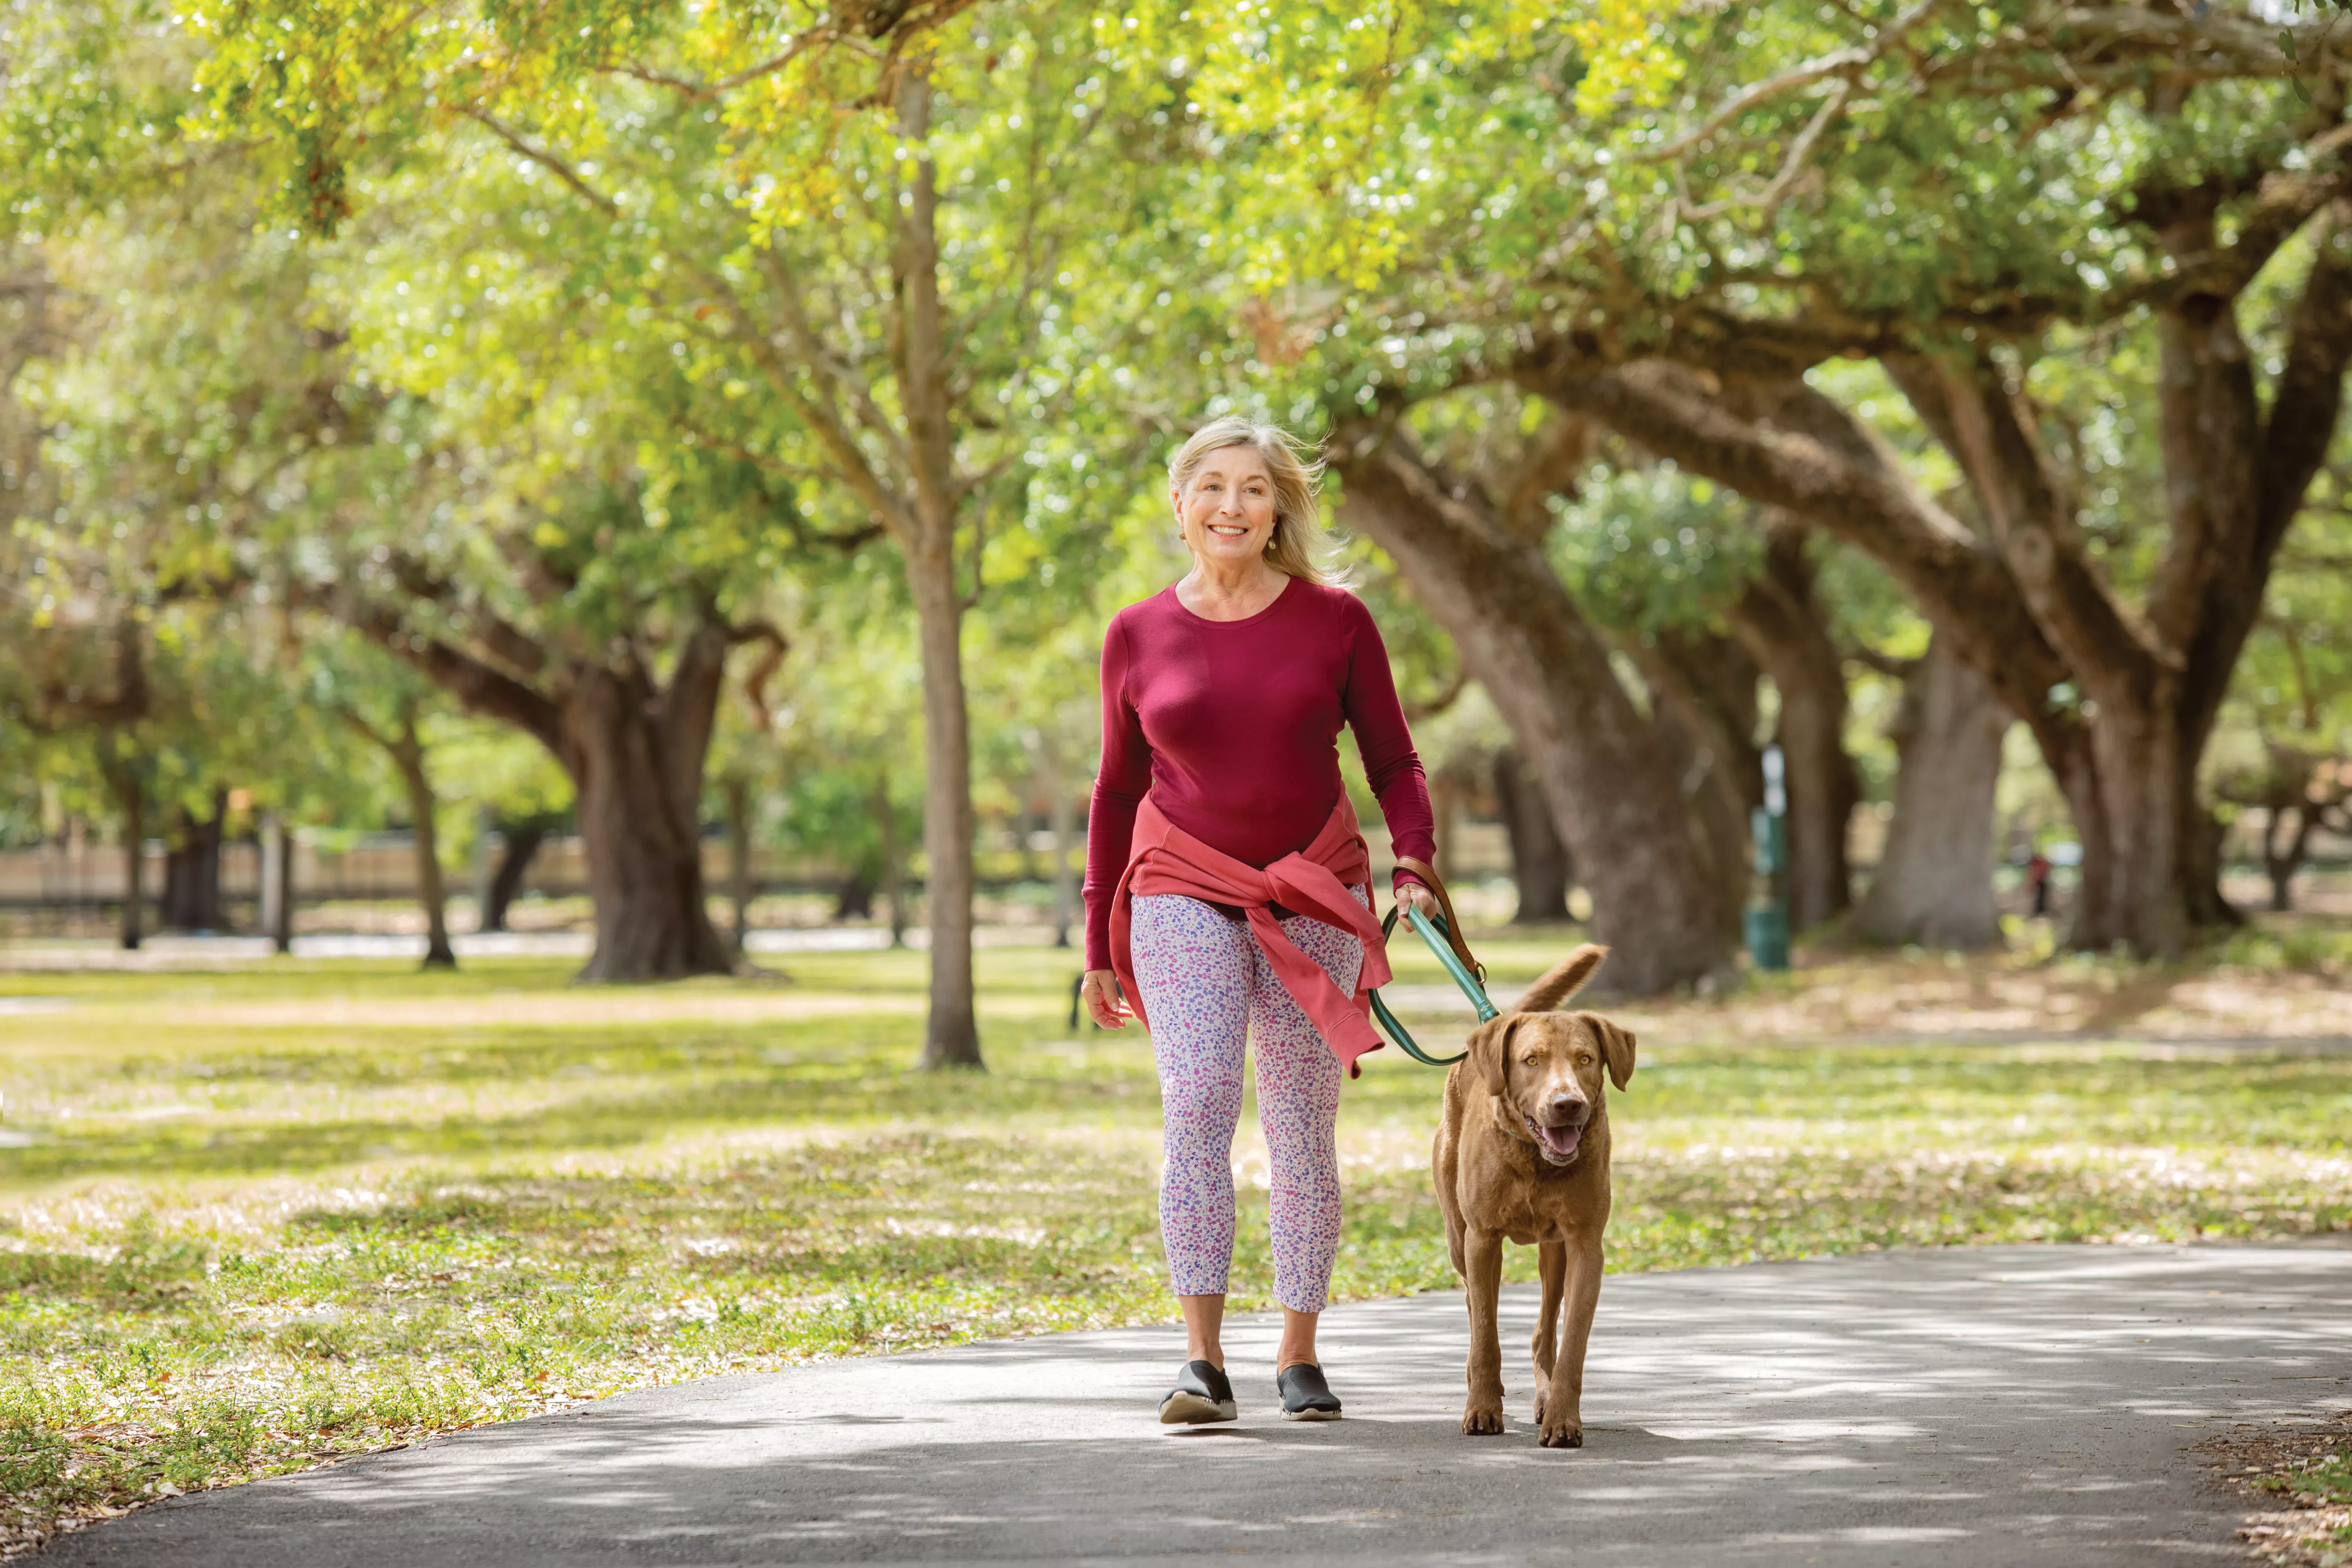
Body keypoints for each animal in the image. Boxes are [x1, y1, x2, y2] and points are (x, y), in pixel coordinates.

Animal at [1430, 945, 1637, 1448]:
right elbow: (1486, 1333)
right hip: (1458, 1237)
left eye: (1586, 1059)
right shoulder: (1482, 1238)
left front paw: (1563, 1419)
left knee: (1544, 1331)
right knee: (1474, 1308)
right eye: (1531, 1061)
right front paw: (1483, 1408)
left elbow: (1574, 1341)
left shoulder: (1585, 1245)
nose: (1568, 1104)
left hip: (1553, 1250)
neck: (1535, 1162)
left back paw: (1544, 1396)